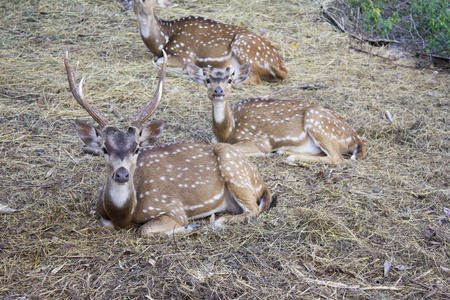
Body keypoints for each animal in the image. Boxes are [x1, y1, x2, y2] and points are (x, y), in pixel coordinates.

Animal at [64, 51, 272, 237]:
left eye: (137, 148)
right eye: (105, 148)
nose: (122, 174)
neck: (125, 214)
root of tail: (260, 181)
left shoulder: (173, 208)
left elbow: (144, 230)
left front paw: (190, 227)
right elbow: (105, 224)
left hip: (234, 168)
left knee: (253, 209)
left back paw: (218, 221)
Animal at [130, 0, 286, 84]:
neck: (163, 40)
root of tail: (282, 67)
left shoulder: (185, 54)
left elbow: (159, 61)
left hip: (242, 45)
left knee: (253, 79)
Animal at [185, 61, 366, 163]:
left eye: (229, 80)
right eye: (208, 80)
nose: (218, 91)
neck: (229, 129)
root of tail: (355, 139)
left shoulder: (260, 139)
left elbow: (226, 146)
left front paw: (264, 154)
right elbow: (214, 142)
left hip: (317, 122)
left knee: (338, 159)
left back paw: (289, 156)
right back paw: (283, 152)